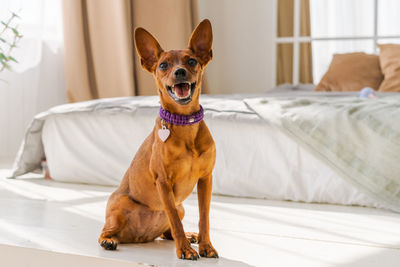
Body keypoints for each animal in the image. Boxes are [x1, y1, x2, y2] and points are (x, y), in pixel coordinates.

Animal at [97, 19, 219, 262]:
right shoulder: (163, 182)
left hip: (181, 207)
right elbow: (175, 221)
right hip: (120, 206)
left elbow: (204, 218)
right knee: (105, 231)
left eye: (192, 61)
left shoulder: (205, 180)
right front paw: (185, 251)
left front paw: (205, 245)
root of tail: (138, 237)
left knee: (168, 232)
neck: (184, 123)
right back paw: (109, 241)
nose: (180, 72)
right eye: (163, 66)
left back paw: (191, 236)